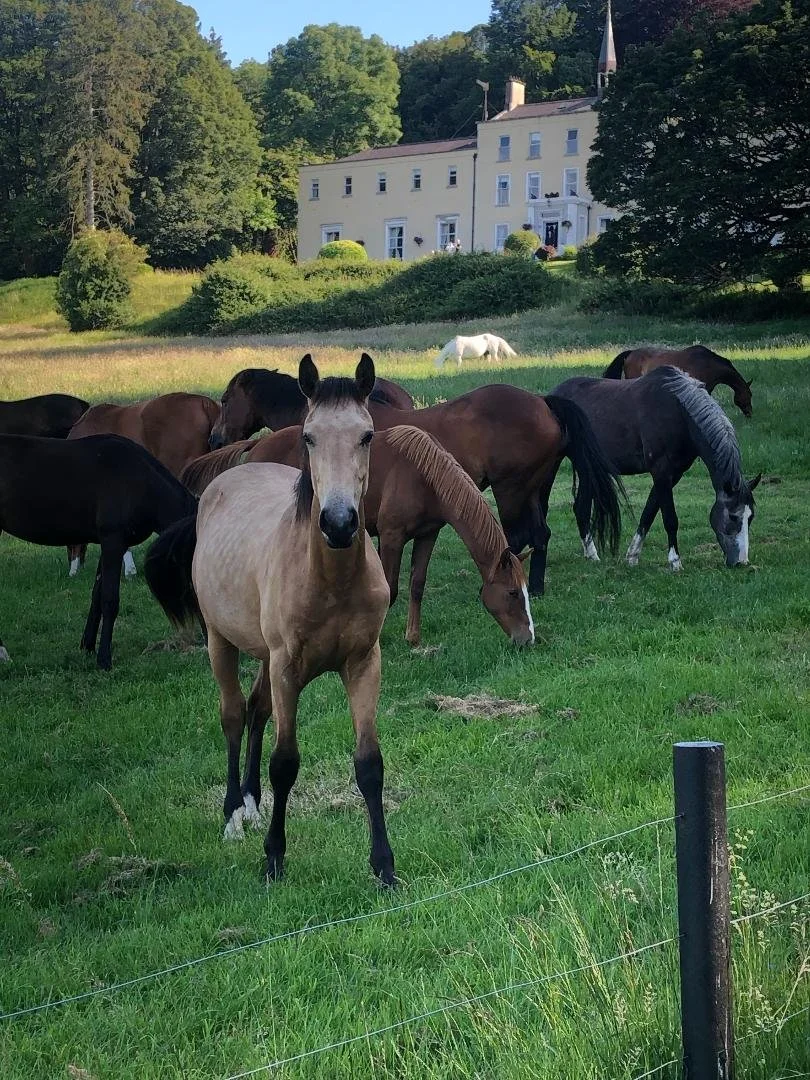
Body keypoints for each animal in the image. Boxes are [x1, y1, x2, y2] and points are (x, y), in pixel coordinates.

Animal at [0, 434, 197, 668]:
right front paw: (104, 659)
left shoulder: (110, 545)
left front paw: (88, 646)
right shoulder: (113, 541)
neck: (141, 481)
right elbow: (110, 600)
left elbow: (97, 596)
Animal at [181, 425, 535, 647]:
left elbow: (417, 585)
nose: (528, 639)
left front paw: (413, 638)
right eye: (513, 593)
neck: (423, 475)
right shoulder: (392, 537)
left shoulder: (427, 535)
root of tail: (257, 444)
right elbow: (391, 589)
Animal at [550, 367, 760, 570]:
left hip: (588, 469)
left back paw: (591, 555)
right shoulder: (661, 472)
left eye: (751, 518)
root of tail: (553, 395)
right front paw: (675, 562)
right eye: (733, 517)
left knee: (580, 508)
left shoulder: (672, 475)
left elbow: (648, 514)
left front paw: (632, 557)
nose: (741, 562)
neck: (678, 413)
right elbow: (670, 519)